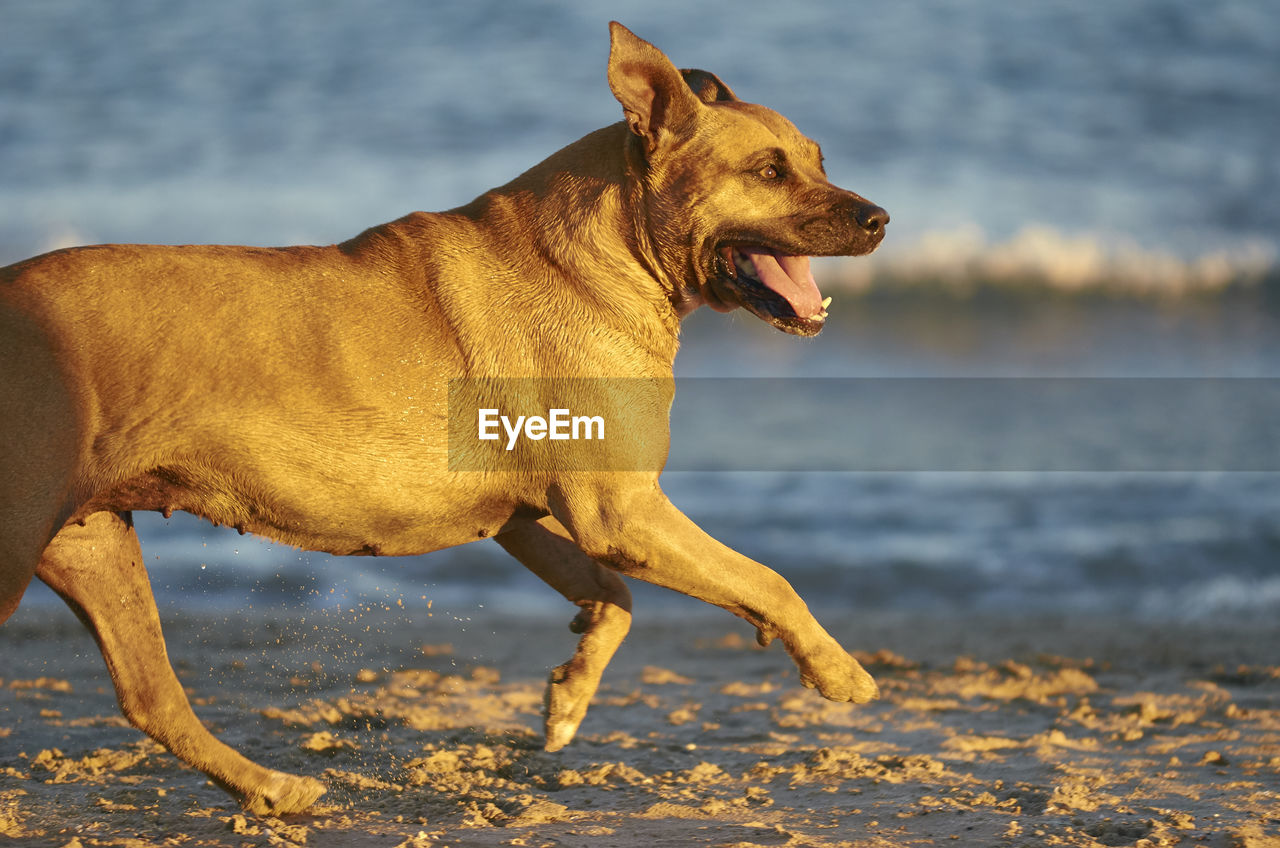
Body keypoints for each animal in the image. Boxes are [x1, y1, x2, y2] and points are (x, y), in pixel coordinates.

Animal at [0, 23, 880, 814]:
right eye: (768, 170)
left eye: (820, 161)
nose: (880, 219)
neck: (612, 250)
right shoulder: (621, 511)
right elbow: (766, 578)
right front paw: (836, 670)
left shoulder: (540, 515)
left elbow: (616, 596)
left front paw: (569, 693)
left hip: (92, 543)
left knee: (150, 696)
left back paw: (271, 790)